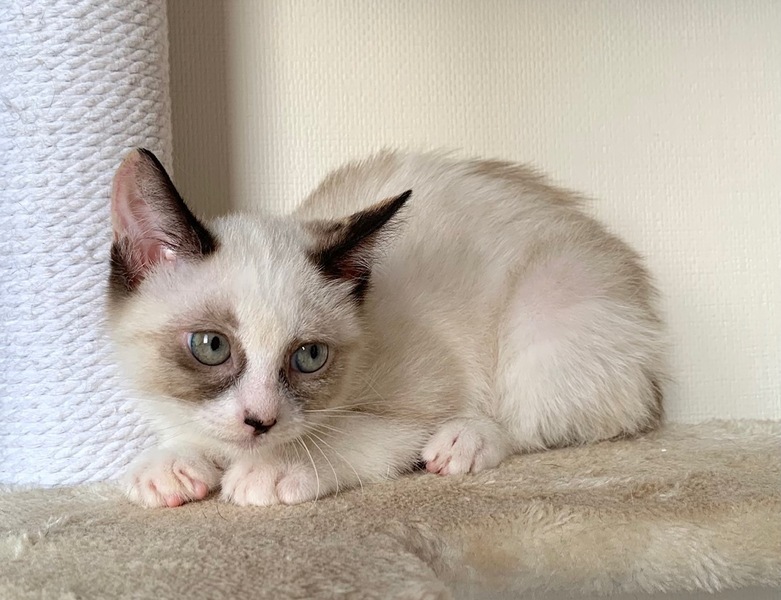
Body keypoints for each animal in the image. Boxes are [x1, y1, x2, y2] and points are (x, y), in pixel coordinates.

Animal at [108, 148, 666, 508]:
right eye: (211, 346)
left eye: (309, 356)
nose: (260, 422)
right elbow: (193, 428)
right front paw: (170, 465)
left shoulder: (422, 396)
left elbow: (350, 434)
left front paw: (272, 467)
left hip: (550, 306)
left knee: (544, 418)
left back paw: (465, 442)